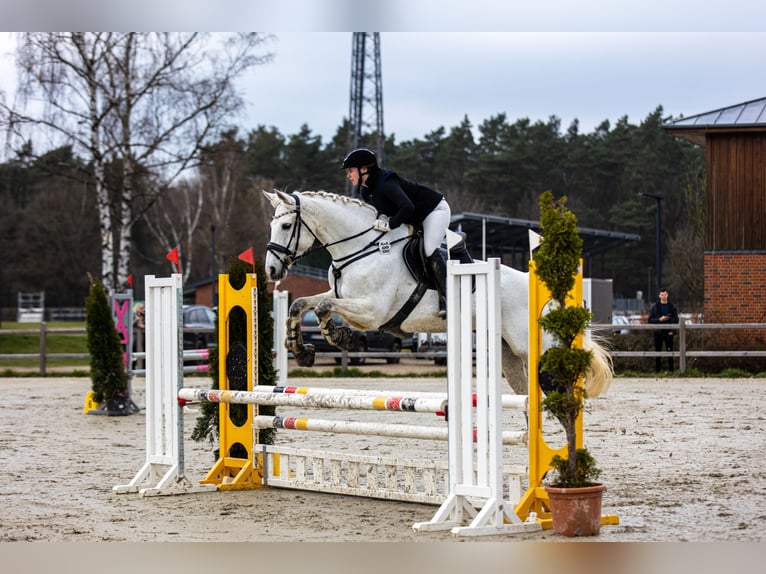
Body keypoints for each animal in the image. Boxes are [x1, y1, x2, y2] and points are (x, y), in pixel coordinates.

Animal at [264, 191, 612, 398]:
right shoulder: (345, 297)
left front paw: (338, 336)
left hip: (529, 347)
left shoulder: (372, 312)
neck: (361, 247)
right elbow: (301, 304)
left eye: (285, 226)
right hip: (509, 353)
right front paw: (302, 349)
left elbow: (324, 306)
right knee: (526, 394)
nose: (271, 270)